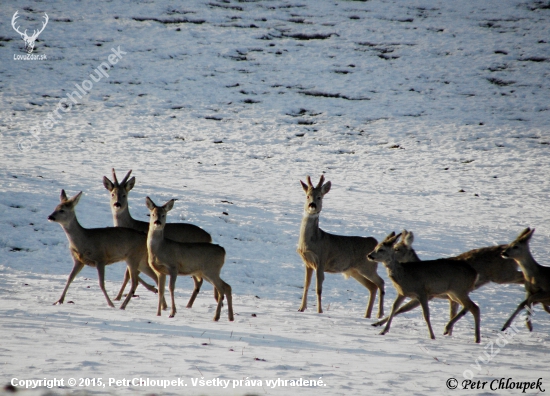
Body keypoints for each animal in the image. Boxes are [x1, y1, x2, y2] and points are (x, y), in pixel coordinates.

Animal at [104, 169, 213, 308]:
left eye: (124, 195)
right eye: (112, 194)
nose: (117, 204)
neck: (132, 225)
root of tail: (209, 236)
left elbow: (128, 275)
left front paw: (118, 297)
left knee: (199, 281)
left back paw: (188, 305)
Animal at [300, 176, 386, 318]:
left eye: (319, 197)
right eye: (307, 196)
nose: (312, 205)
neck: (311, 242)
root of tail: (374, 241)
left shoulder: (321, 260)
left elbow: (318, 288)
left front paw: (320, 311)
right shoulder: (307, 263)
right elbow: (306, 285)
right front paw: (301, 308)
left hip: (367, 266)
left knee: (381, 282)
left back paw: (379, 314)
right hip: (354, 270)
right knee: (372, 286)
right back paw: (367, 315)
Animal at [376, 229, 528, 328]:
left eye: (397, 249)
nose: (373, 255)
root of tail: (506, 248)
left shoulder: (429, 294)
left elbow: (402, 309)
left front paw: (378, 322)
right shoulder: (448, 297)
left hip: (502, 275)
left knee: (522, 276)